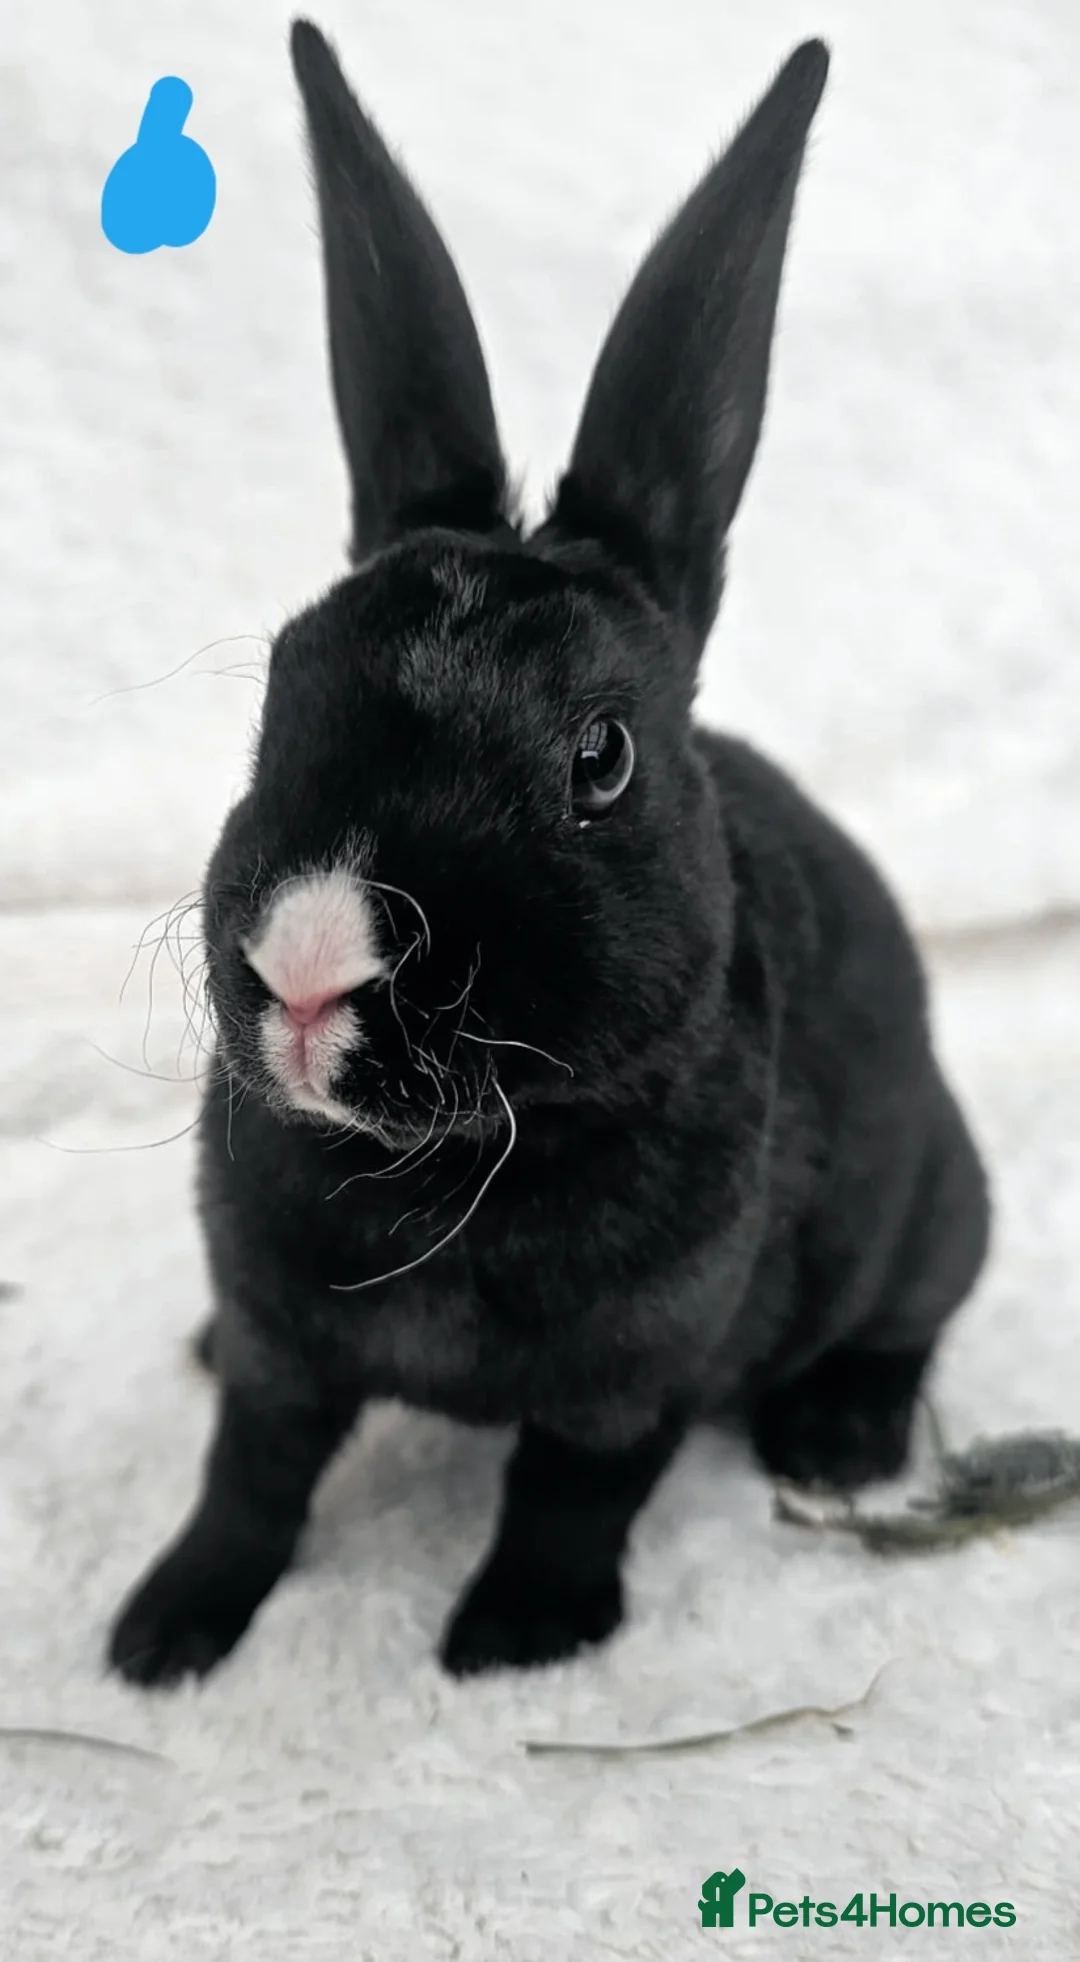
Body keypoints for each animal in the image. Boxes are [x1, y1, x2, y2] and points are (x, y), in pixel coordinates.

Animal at [107, 20, 991, 1689]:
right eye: (281, 690)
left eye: (601, 758)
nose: (310, 964)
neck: (452, 1159)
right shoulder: (274, 1340)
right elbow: (248, 1474)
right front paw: (162, 1633)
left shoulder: (637, 1373)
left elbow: (573, 1489)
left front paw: (510, 1641)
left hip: (930, 1213)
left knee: (911, 1312)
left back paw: (837, 1439)